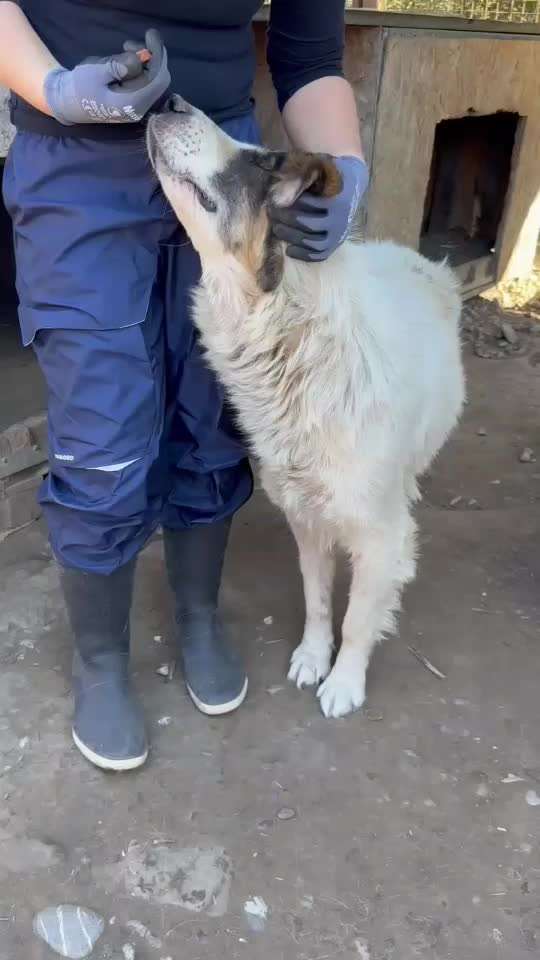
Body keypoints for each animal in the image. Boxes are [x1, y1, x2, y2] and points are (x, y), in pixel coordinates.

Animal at [147, 97, 464, 716]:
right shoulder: (305, 515)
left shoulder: (376, 532)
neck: (293, 340)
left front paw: (344, 682)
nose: (170, 100)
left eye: (261, 161)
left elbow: (360, 616)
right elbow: (317, 599)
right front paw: (314, 658)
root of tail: (415, 259)